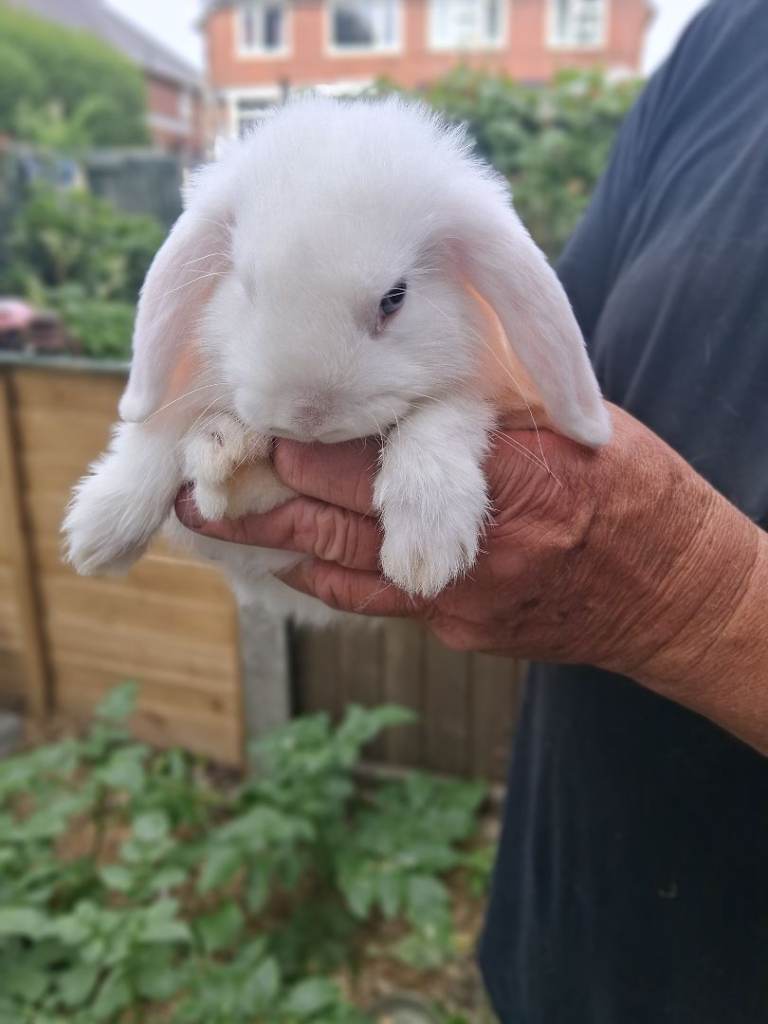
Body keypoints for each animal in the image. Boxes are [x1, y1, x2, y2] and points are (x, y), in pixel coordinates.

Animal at [63, 96, 611, 625]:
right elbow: (156, 428)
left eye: (394, 298)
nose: (307, 416)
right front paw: (99, 530)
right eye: (247, 286)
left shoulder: (484, 385)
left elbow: (443, 414)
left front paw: (426, 548)